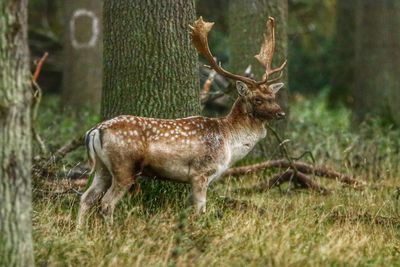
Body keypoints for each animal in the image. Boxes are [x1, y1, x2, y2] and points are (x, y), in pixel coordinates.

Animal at [76, 16, 288, 226]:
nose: (281, 113)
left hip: (102, 168)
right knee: (106, 203)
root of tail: (95, 130)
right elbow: (201, 210)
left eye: (273, 96)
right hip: (124, 166)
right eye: (257, 99)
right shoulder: (201, 172)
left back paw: (80, 230)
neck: (228, 140)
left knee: (86, 197)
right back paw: (111, 232)